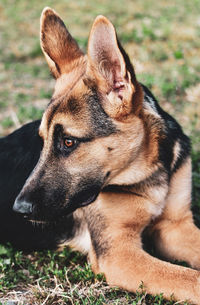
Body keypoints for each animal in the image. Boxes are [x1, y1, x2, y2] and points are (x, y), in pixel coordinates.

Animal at [1, 6, 200, 302]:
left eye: (68, 142)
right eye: (43, 141)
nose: (19, 210)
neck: (148, 174)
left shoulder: (176, 226)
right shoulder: (118, 253)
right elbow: (189, 278)